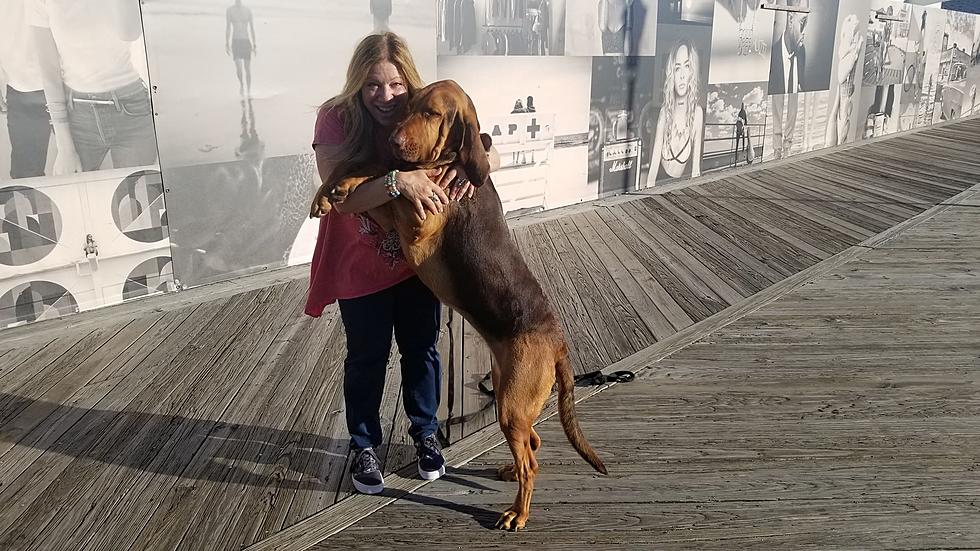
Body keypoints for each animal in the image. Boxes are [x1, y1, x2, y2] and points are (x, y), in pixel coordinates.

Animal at [312, 81, 604, 532]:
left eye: (432, 113)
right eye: (408, 105)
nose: (395, 138)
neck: (446, 162)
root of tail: (557, 340)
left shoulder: (413, 224)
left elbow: (388, 177)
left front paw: (346, 187)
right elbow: (376, 166)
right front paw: (330, 191)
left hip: (512, 407)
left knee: (532, 463)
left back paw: (518, 512)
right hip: (508, 398)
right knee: (532, 445)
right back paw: (510, 471)